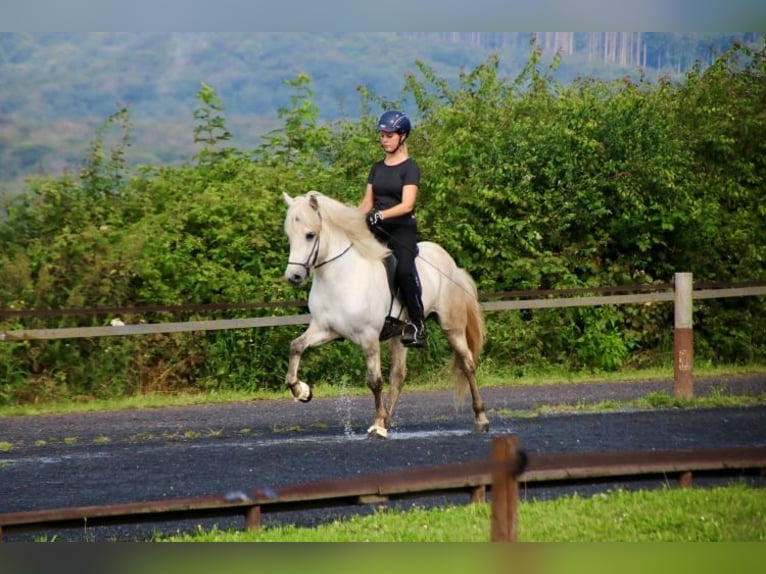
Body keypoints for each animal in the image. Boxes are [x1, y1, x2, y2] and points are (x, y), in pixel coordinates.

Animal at [281, 190, 490, 438]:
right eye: (289, 236)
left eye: (310, 235)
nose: (293, 277)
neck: (339, 276)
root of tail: (451, 264)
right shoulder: (325, 329)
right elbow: (295, 347)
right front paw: (301, 391)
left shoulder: (368, 336)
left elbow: (374, 381)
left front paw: (377, 426)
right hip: (400, 334)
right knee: (398, 376)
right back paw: (388, 419)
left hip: (452, 327)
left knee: (467, 364)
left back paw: (481, 419)